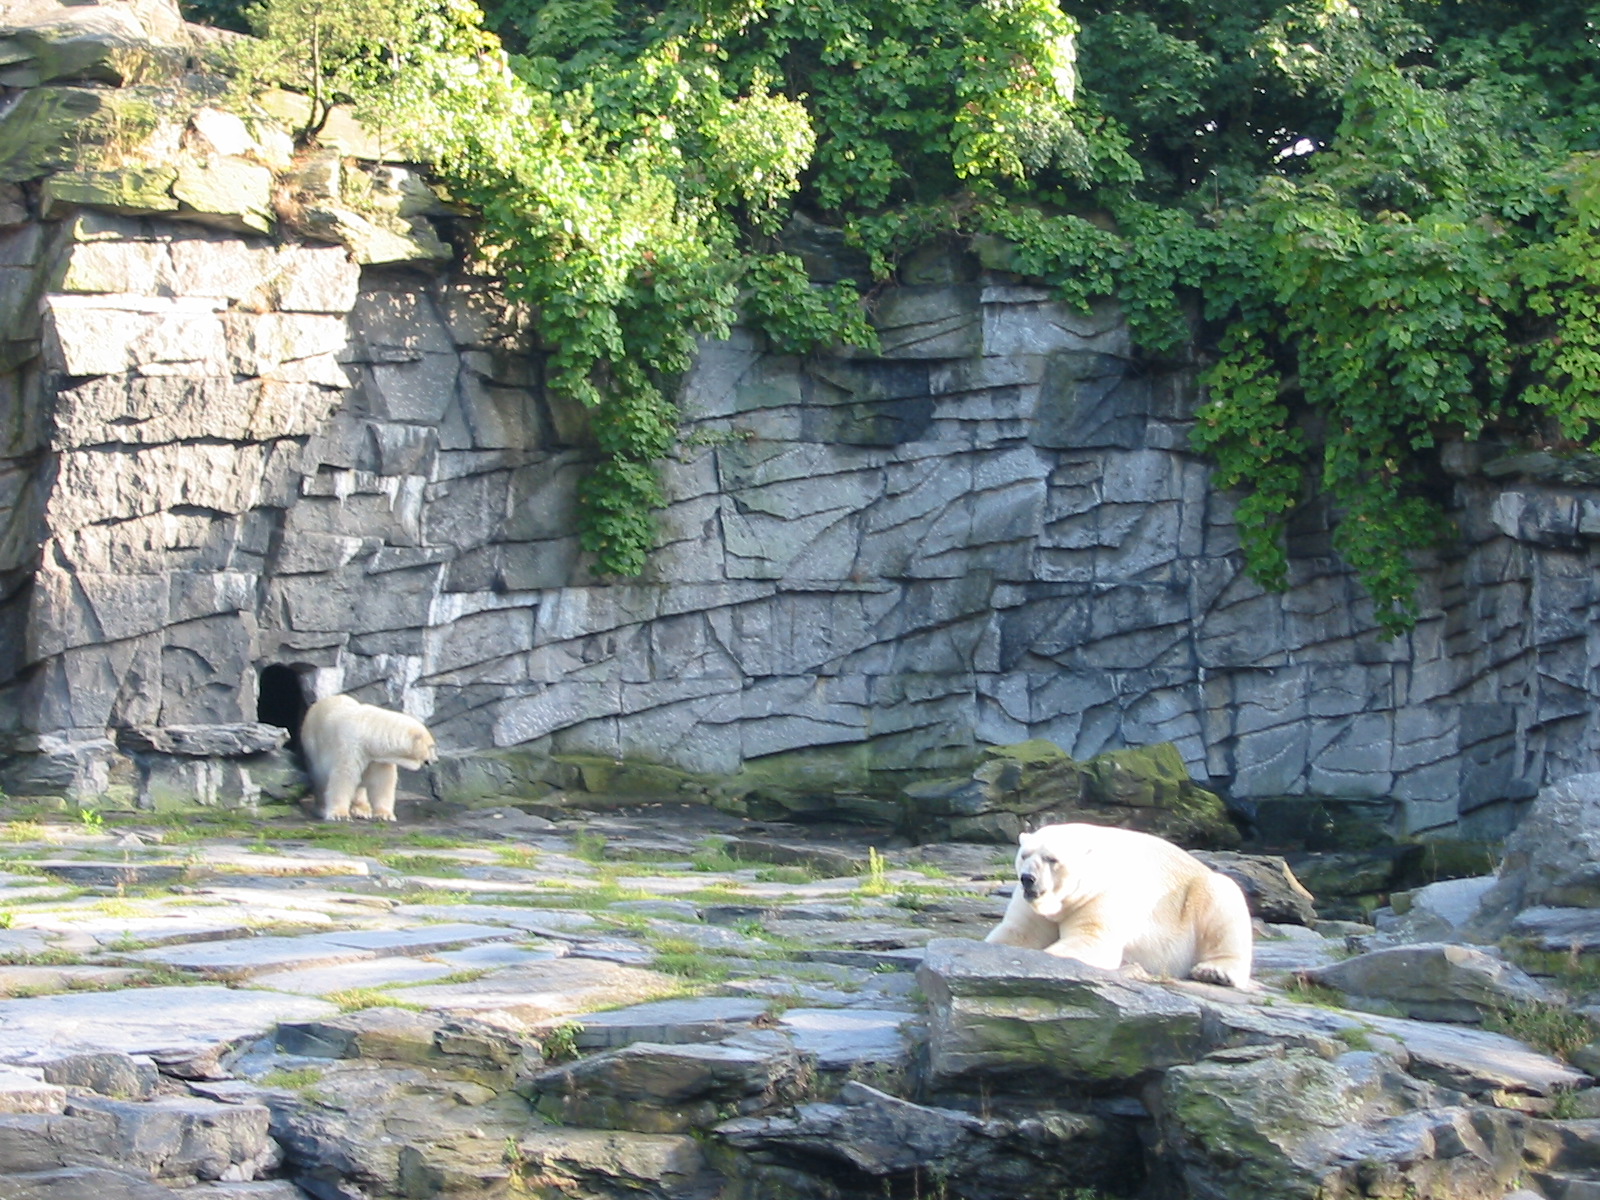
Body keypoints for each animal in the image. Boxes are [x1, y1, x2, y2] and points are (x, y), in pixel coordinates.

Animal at [299, 694, 437, 822]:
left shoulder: (378, 758)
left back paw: (362, 810)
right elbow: (344, 776)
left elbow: (382, 781)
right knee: (319, 778)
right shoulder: (351, 746)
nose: (436, 760)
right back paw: (321, 809)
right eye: (431, 746)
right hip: (313, 746)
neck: (368, 729)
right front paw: (340, 815)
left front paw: (385, 815)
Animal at [984, 822, 1254, 988]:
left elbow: (1092, 939)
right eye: (1024, 855)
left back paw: (1215, 972)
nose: (1027, 878)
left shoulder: (1104, 893)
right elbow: (1019, 933)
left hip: (1196, 895)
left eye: (1052, 859)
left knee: (1223, 899)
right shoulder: (1030, 904)